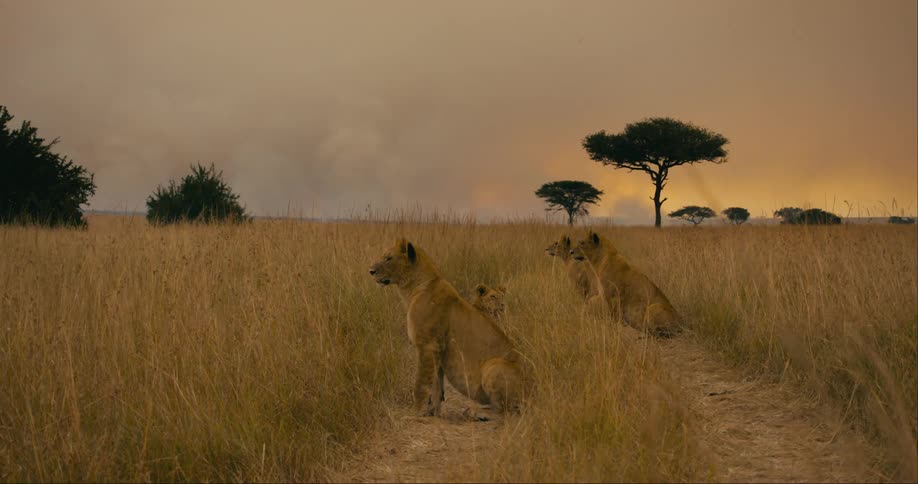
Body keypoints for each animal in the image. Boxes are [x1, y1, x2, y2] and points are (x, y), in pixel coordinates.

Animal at [369, 238, 526, 417]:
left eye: (388, 258)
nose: (371, 271)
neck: (413, 288)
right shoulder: (437, 348)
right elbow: (436, 384)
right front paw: (433, 413)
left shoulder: (427, 345)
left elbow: (421, 384)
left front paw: (415, 412)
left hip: (493, 365)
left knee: (506, 412)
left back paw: (476, 412)